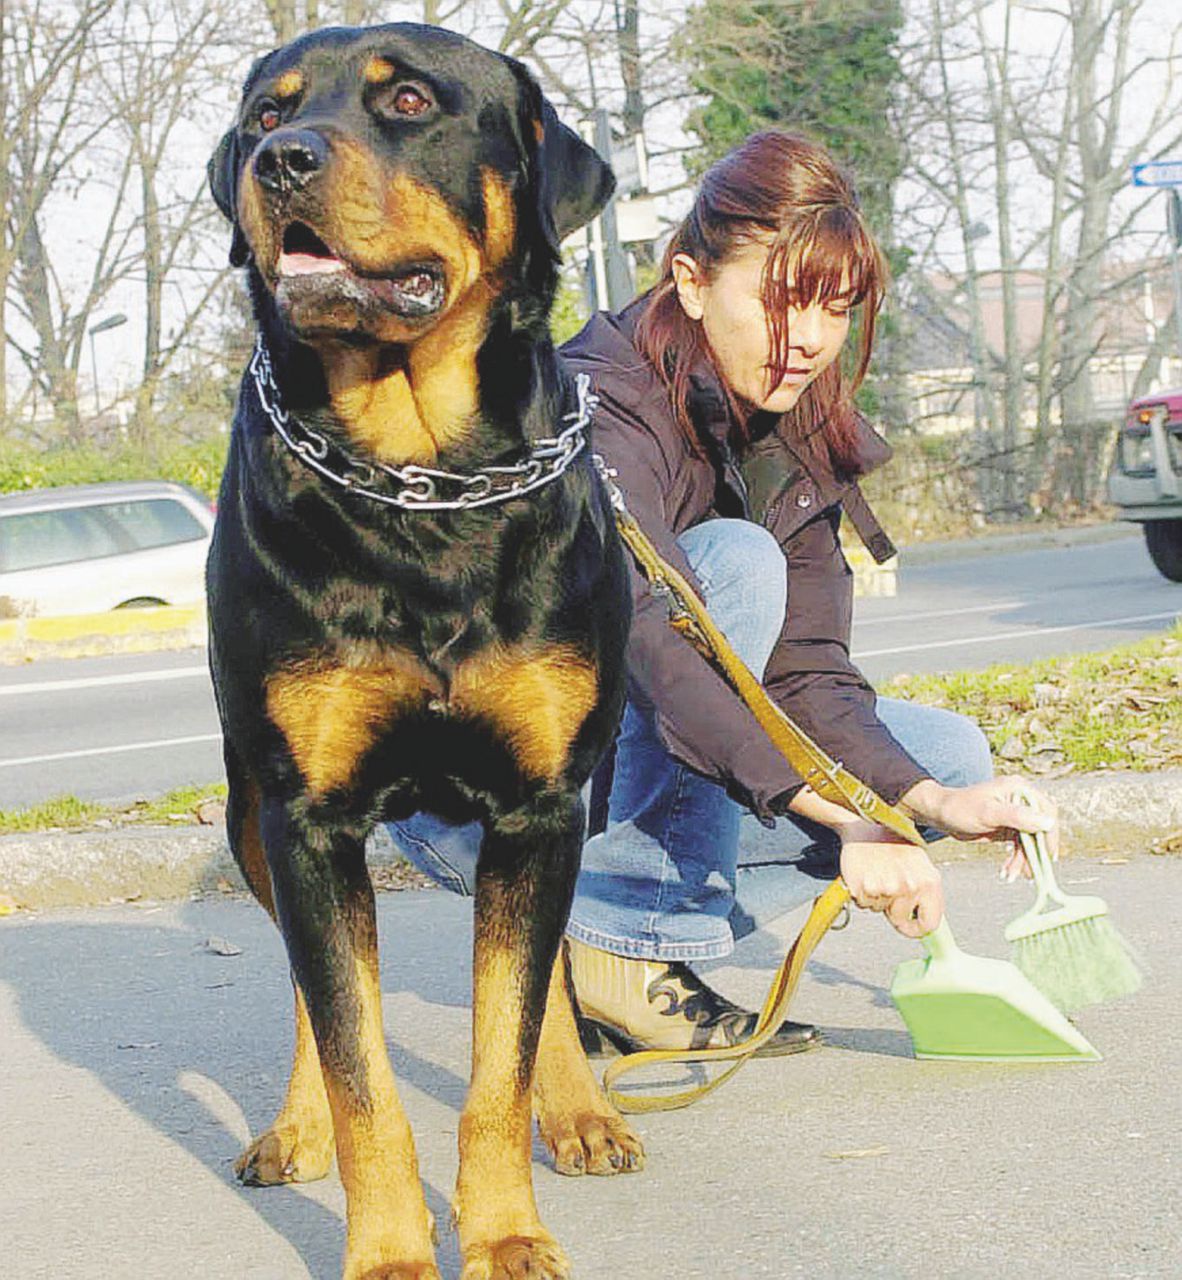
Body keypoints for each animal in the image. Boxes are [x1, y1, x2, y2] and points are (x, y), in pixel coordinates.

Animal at [207, 22, 642, 1280]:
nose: (282, 162)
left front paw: (504, 1233)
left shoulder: (541, 803)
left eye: (408, 101)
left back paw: (582, 1109)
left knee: (546, 978)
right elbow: (360, 1065)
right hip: (248, 811)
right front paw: (393, 1251)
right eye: (264, 115)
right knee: (312, 992)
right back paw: (293, 1124)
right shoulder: (306, 814)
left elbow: (504, 1048)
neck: (421, 481)